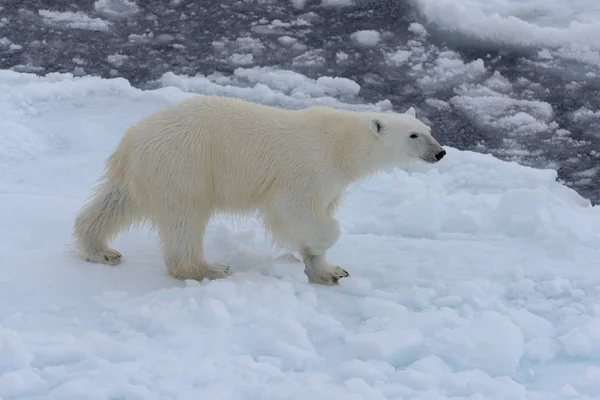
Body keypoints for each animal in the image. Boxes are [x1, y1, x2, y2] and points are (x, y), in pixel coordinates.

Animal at [71, 94, 446, 284]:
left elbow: (320, 212)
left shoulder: (333, 184)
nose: (440, 152)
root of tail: (130, 142)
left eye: (429, 129)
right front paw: (317, 247)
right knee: (185, 217)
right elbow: (295, 211)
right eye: (413, 135)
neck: (344, 146)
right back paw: (208, 268)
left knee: (115, 204)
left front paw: (328, 270)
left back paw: (100, 249)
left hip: (148, 171)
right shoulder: (310, 169)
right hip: (185, 165)